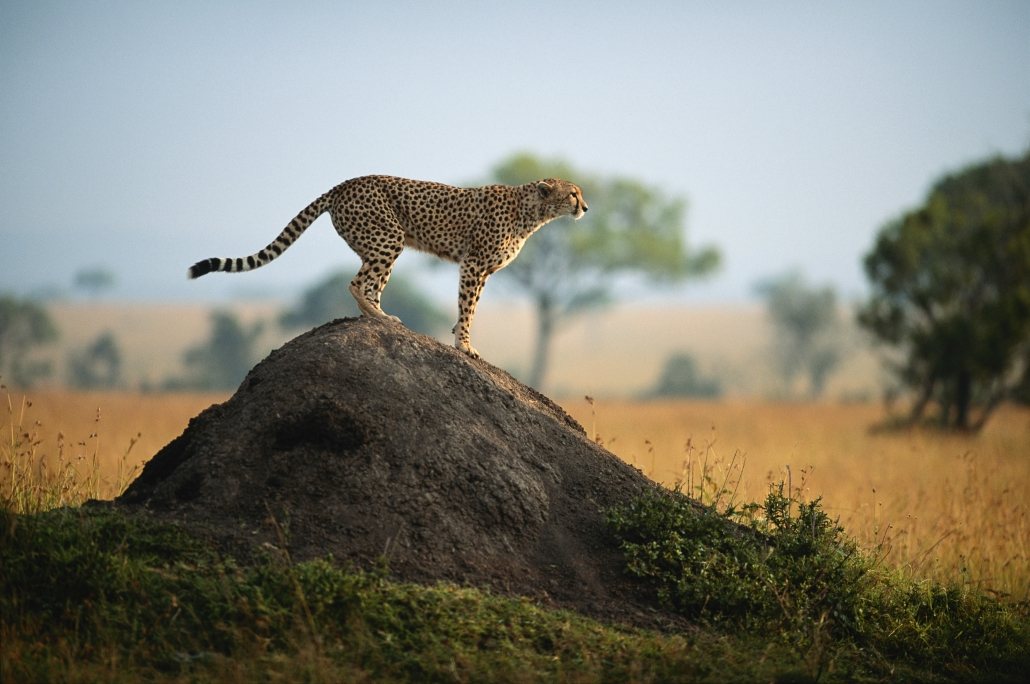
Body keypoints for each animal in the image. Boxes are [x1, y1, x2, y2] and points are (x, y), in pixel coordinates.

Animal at [188, 175, 588, 358]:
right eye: (573, 193)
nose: (585, 207)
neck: (531, 212)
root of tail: (346, 183)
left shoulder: (482, 270)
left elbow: (468, 308)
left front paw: (458, 336)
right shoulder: (474, 265)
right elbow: (469, 308)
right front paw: (465, 346)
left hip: (382, 244)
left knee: (371, 284)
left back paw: (378, 317)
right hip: (388, 238)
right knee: (357, 283)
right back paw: (379, 317)